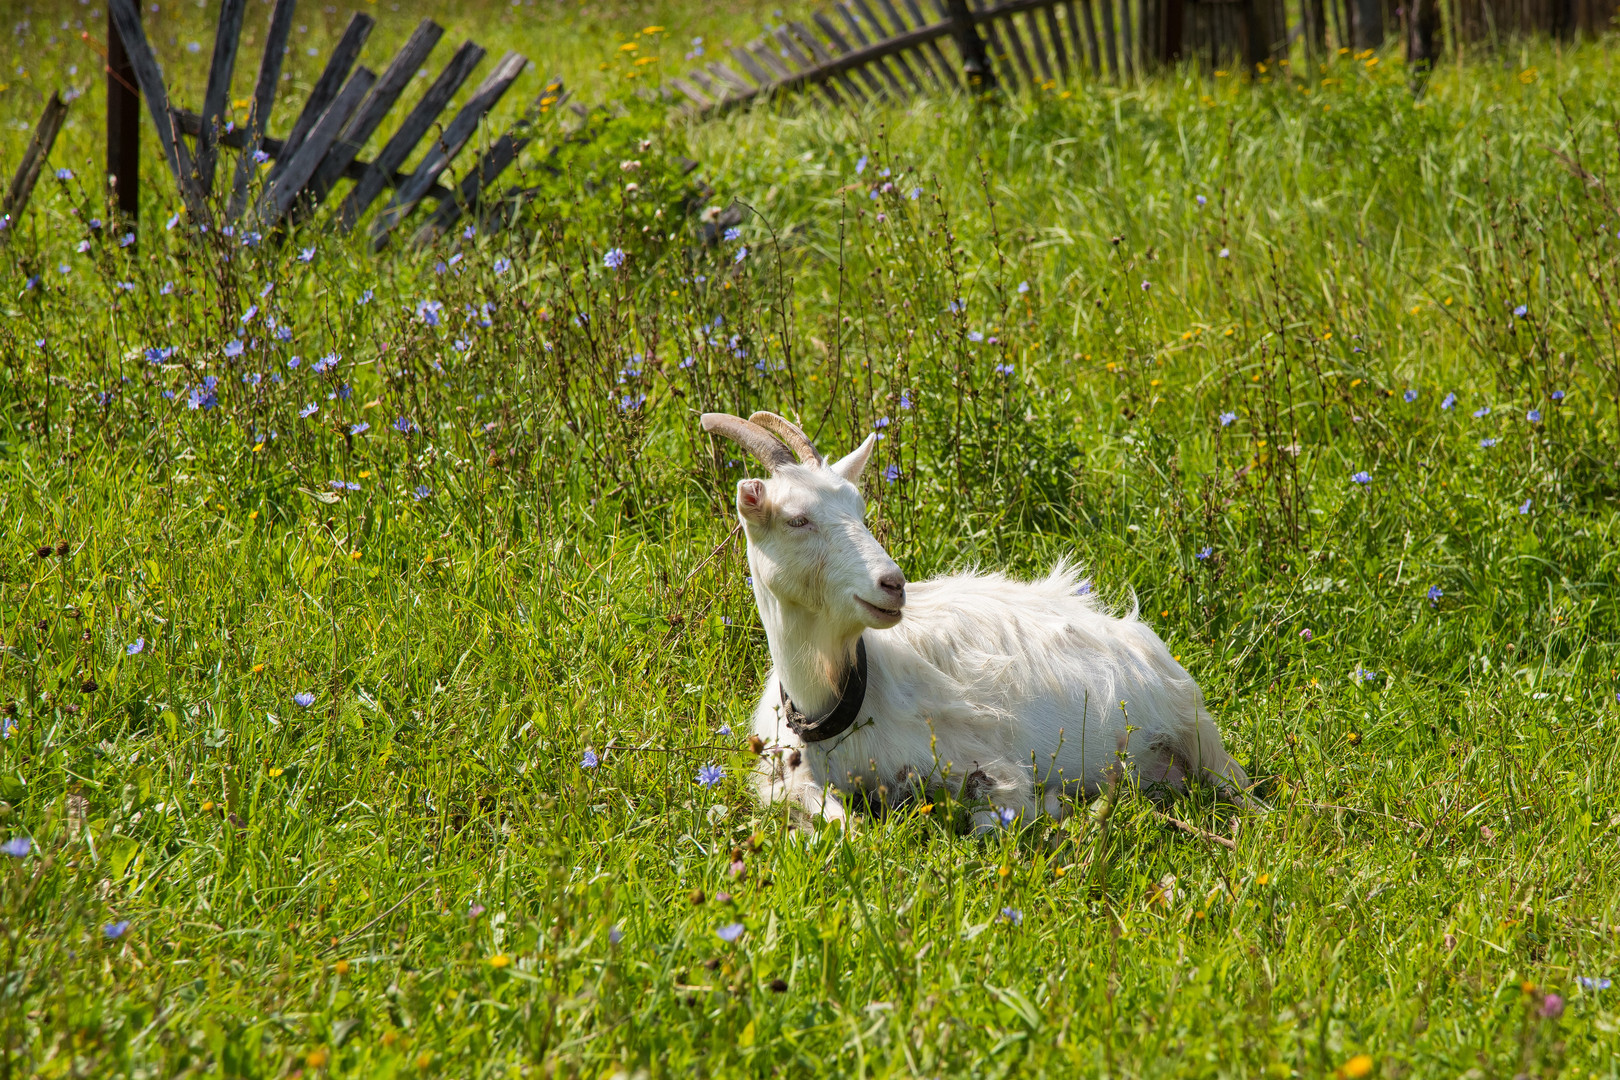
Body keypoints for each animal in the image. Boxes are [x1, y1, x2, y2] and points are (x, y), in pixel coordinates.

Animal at [699, 411, 1250, 829]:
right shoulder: (783, 776)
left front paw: (1054, 806)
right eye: (797, 519)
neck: (835, 702)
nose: (893, 583)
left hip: (1200, 738)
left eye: (859, 508)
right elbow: (833, 823)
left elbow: (999, 810)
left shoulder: (983, 763)